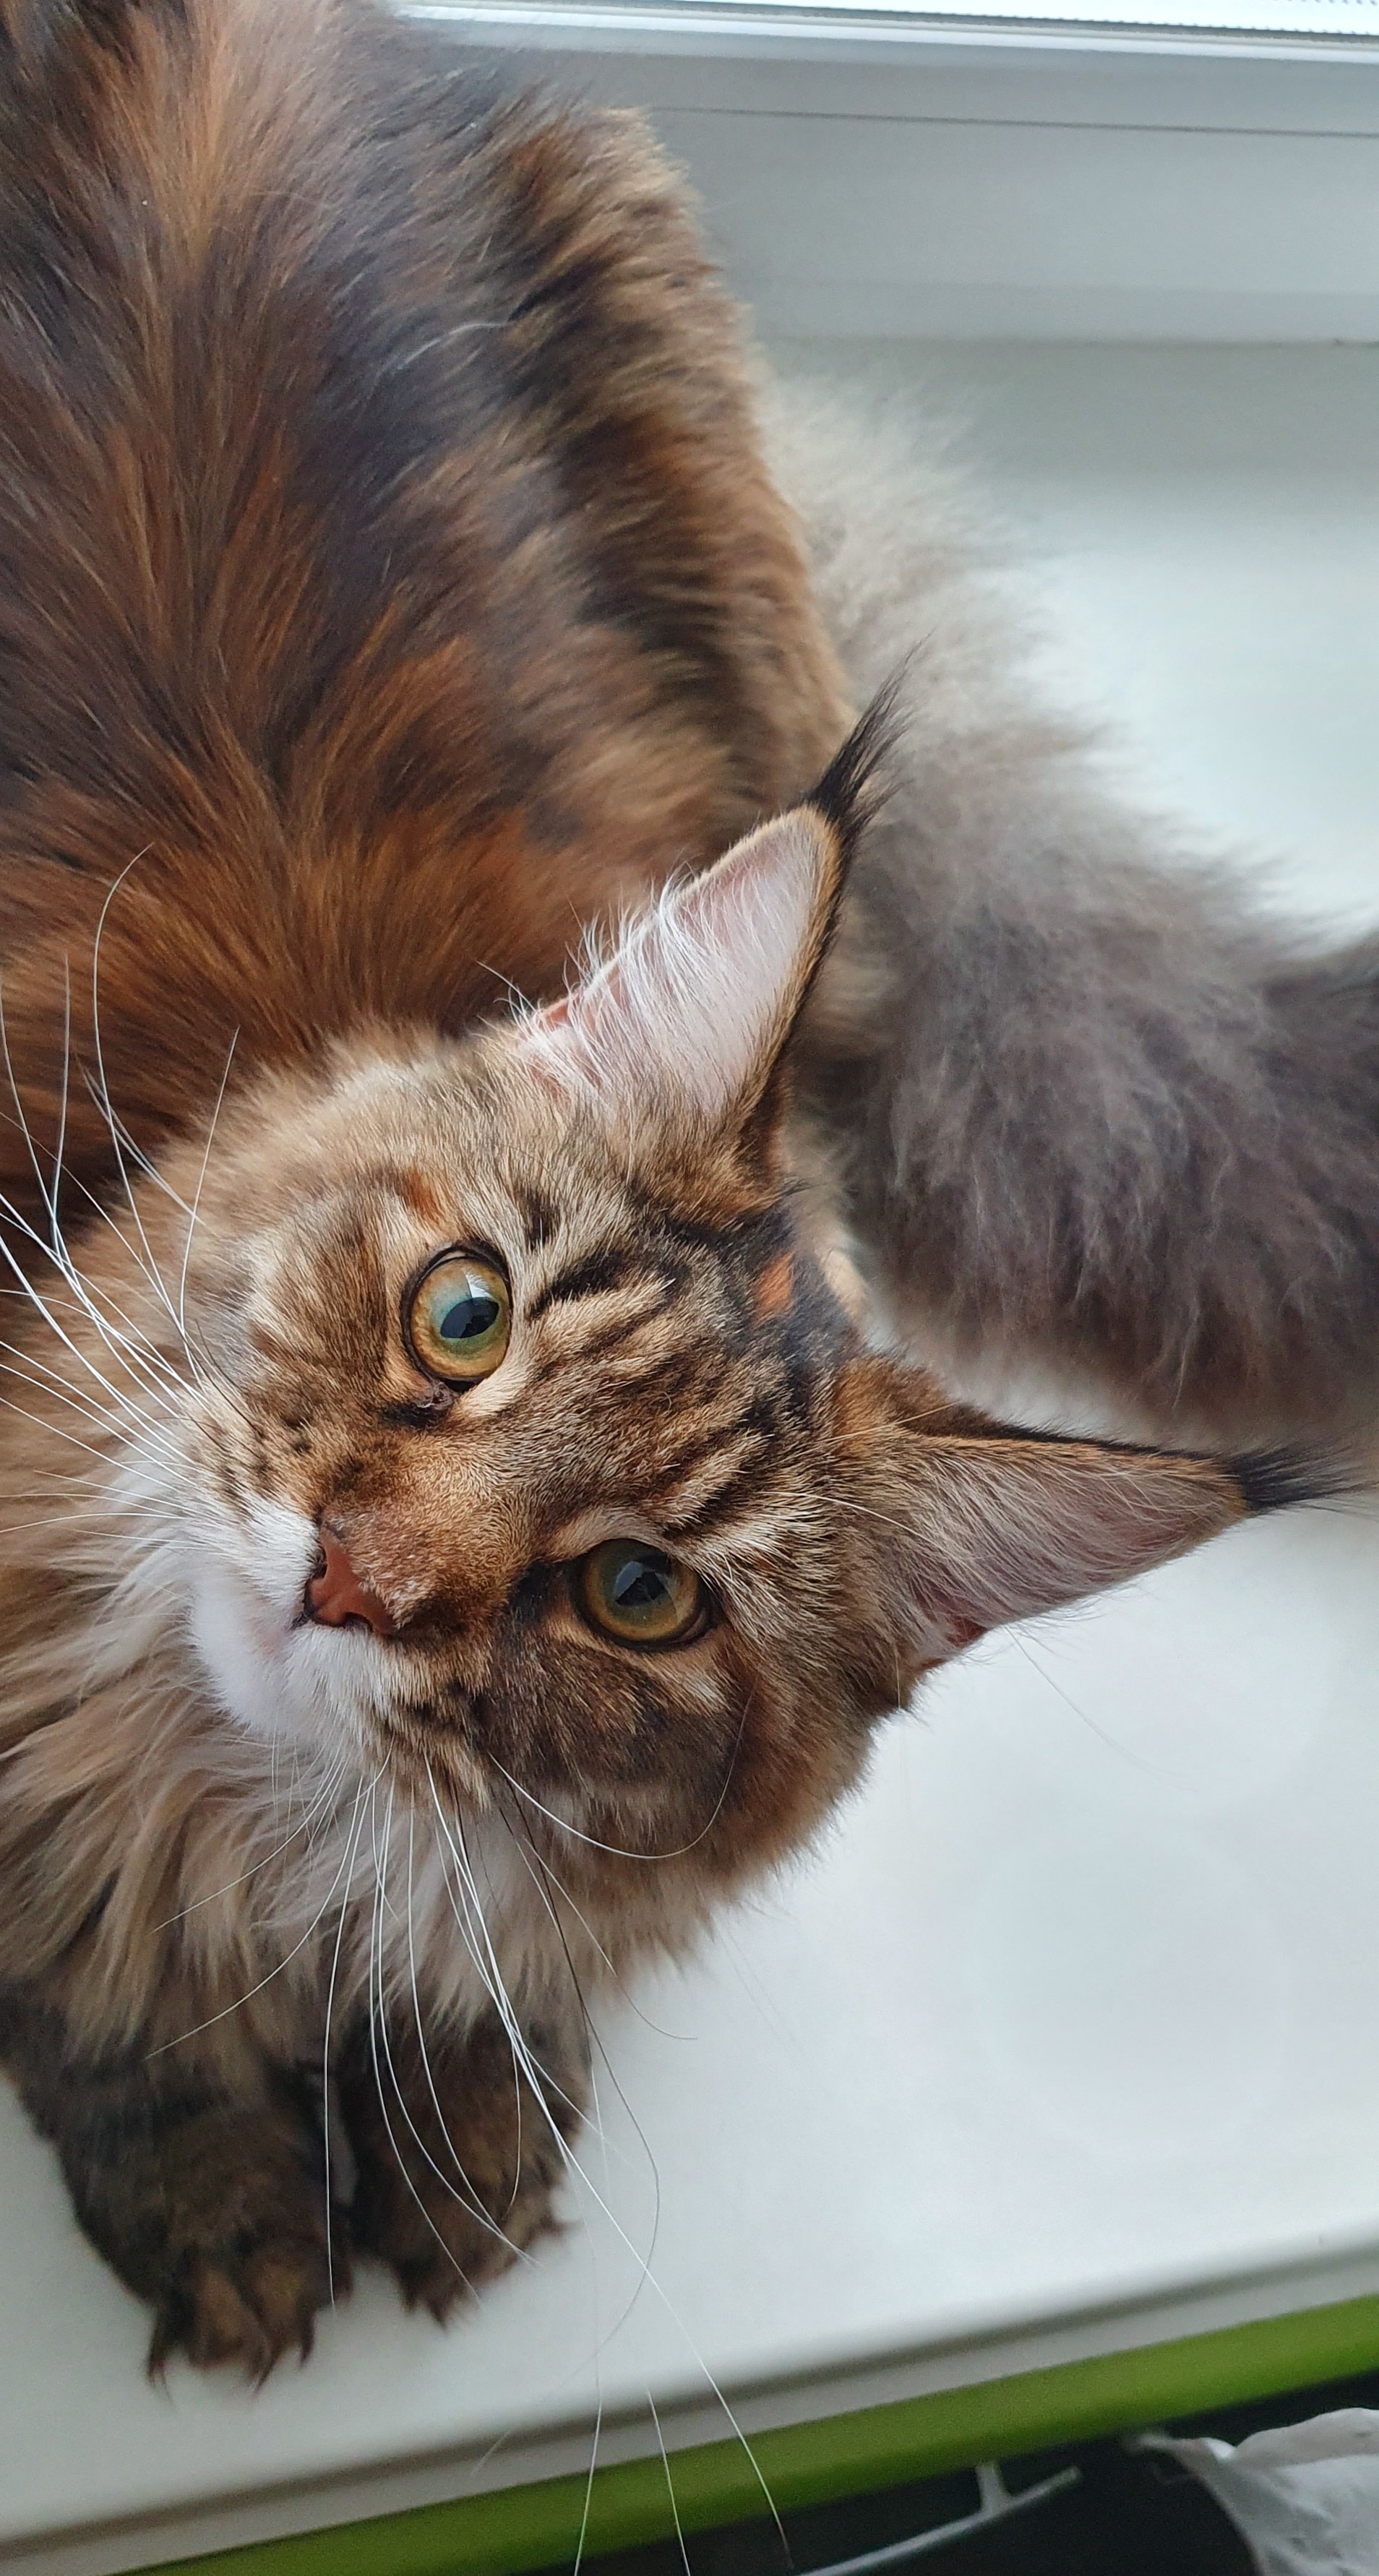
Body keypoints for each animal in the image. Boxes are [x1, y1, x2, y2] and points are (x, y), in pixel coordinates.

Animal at [0, 0, 1371, 2369]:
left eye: (636, 1593)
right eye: (460, 1316)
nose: (343, 1577)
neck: (242, 1822)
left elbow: (489, 1965)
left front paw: (454, 2108)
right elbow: (69, 1986)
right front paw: (204, 2173)